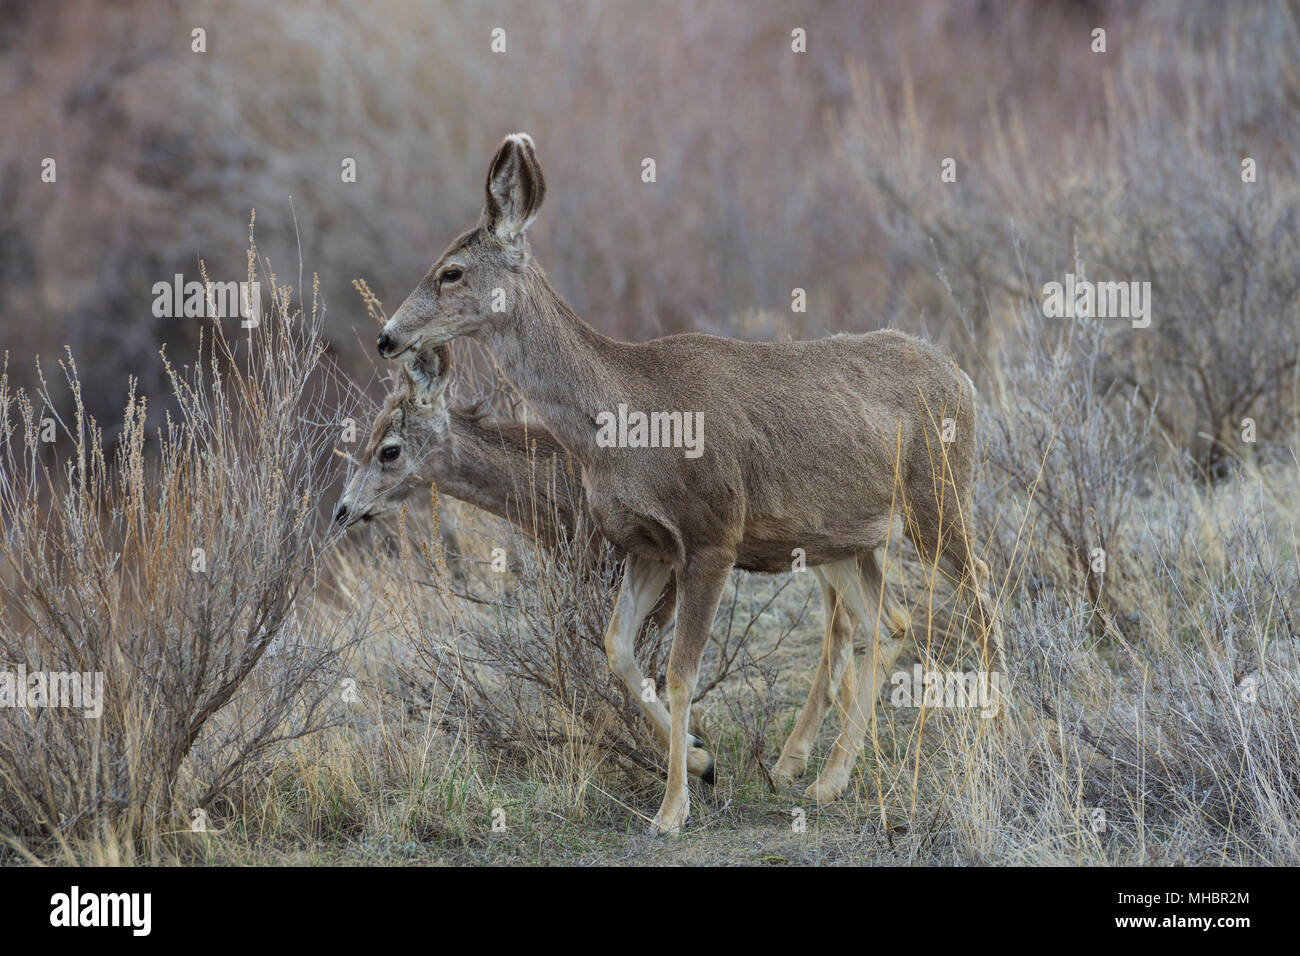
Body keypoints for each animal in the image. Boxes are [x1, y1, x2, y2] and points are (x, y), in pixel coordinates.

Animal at [332, 340, 863, 790]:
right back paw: (802, 760)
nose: (343, 510)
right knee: (846, 619)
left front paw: (695, 757)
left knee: (849, 619)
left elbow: (645, 663)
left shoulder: (657, 566)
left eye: (390, 449)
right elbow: (621, 657)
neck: (554, 494)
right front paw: (690, 753)